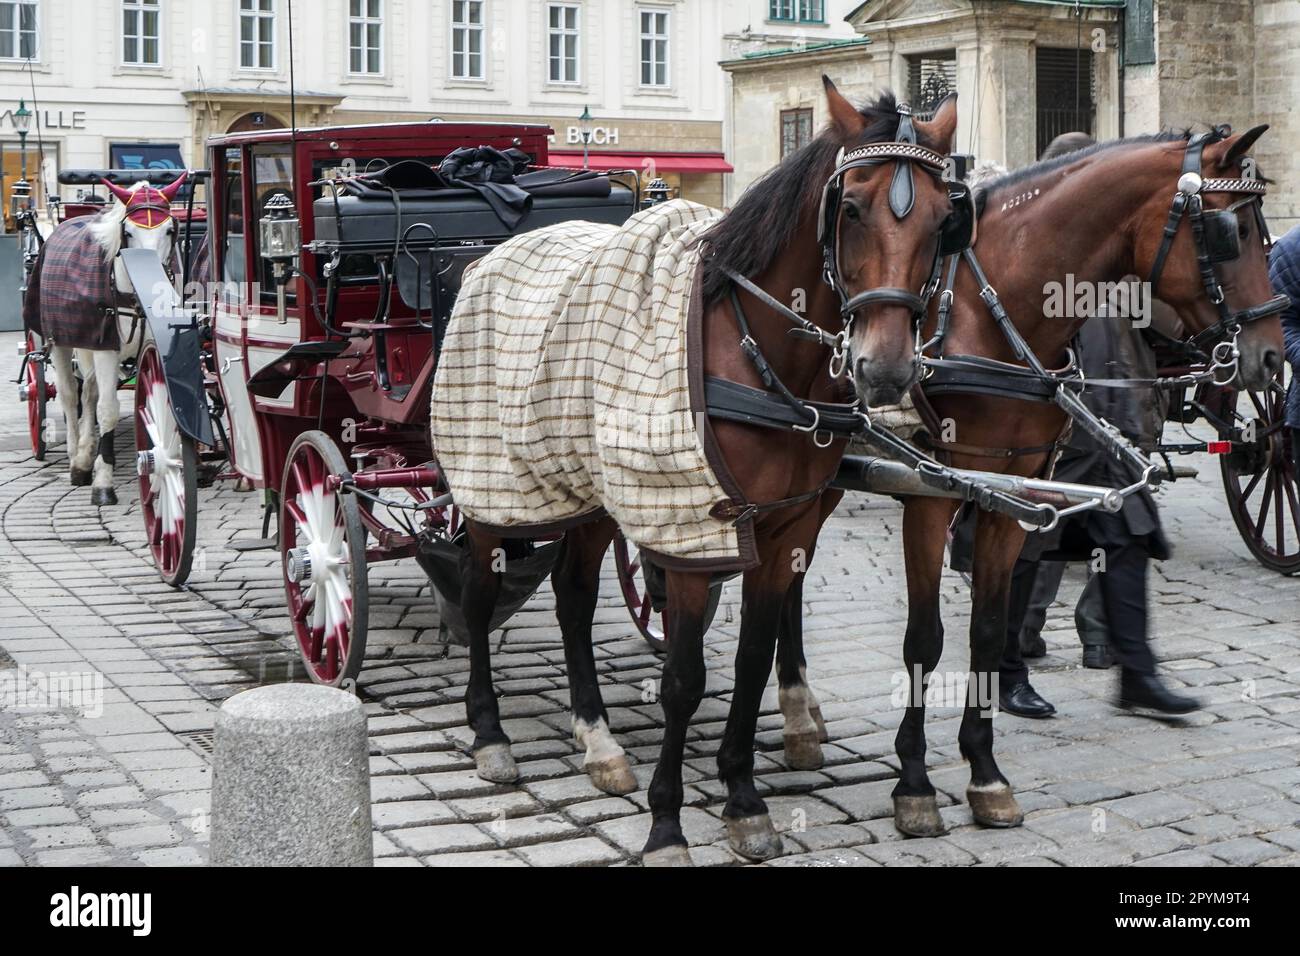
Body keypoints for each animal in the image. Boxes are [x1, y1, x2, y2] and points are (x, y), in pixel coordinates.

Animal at [22, 173, 187, 505]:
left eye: (169, 230)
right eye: (128, 232)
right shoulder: (105, 349)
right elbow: (108, 410)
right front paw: (103, 484)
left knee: (89, 394)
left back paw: (86, 455)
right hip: (61, 342)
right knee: (70, 394)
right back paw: (75, 457)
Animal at [430, 81, 970, 865]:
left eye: (942, 219)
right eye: (852, 207)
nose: (888, 369)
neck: (755, 353)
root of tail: (487, 257)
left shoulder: (781, 531)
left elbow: (750, 660)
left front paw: (743, 798)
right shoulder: (686, 529)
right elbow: (684, 679)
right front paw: (667, 824)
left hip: (591, 493)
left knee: (572, 595)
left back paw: (597, 738)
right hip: (492, 483)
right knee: (476, 594)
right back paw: (489, 731)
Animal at [819, 124, 1285, 836]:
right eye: (1228, 231)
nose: (1271, 356)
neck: (986, 318)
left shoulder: (1012, 494)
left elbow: (988, 627)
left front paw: (985, 771)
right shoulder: (932, 493)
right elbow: (924, 637)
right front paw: (915, 782)